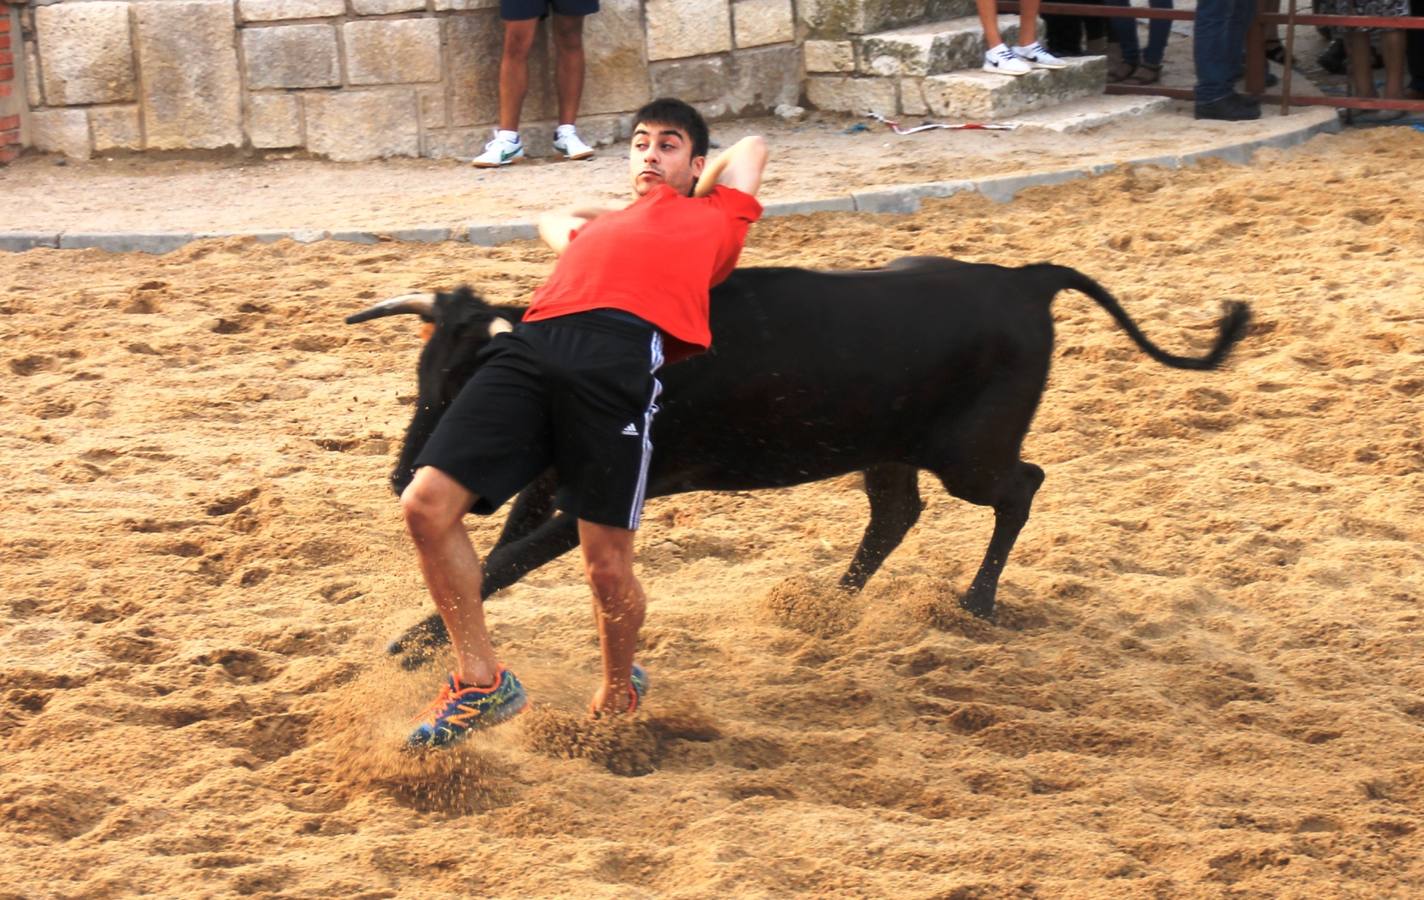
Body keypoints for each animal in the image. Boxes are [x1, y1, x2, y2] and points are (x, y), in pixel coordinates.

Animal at [353, 256, 1247, 663]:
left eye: (472, 381)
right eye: (426, 374)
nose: (400, 477)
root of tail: (1023, 279)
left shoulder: (599, 495)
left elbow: (506, 562)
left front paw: (409, 646)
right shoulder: (553, 482)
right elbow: (496, 560)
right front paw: (430, 642)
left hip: (969, 453)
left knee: (1021, 486)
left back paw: (976, 602)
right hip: (888, 448)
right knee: (897, 513)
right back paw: (826, 606)